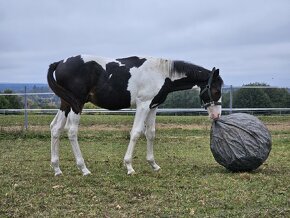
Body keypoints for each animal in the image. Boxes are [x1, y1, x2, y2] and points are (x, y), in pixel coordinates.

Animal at [46, 54, 223, 175]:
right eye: (215, 90)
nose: (216, 116)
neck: (160, 73)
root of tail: (60, 63)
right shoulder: (143, 105)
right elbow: (136, 132)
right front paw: (129, 166)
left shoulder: (153, 106)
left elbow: (150, 133)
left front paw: (153, 164)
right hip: (77, 103)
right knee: (71, 131)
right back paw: (83, 169)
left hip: (66, 103)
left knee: (55, 128)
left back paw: (57, 168)